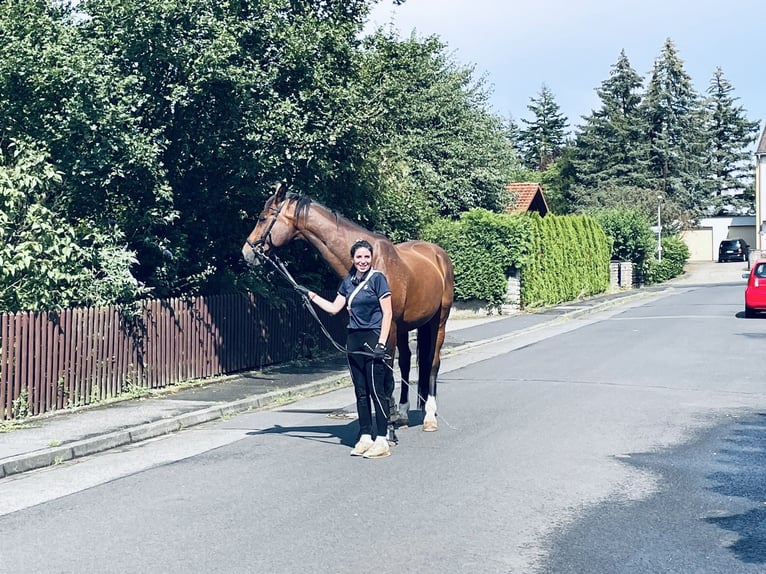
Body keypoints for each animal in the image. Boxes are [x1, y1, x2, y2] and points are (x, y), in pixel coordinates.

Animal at [242, 183, 456, 432]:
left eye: (262, 218)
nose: (246, 252)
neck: (367, 263)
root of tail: (438, 254)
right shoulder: (359, 331)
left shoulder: (389, 328)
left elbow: (385, 373)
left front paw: (388, 422)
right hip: (408, 326)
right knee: (406, 363)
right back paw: (403, 413)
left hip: (438, 321)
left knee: (433, 362)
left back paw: (429, 416)